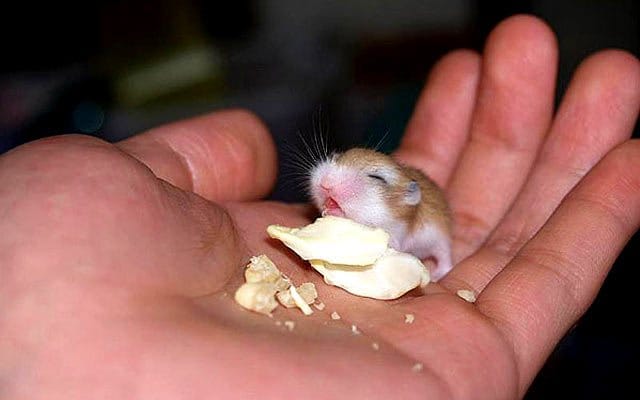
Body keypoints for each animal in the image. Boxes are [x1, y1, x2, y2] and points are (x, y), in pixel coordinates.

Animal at [309, 148, 453, 281]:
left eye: (376, 177)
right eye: (336, 157)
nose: (325, 183)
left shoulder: (395, 239)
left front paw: (332, 211)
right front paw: (325, 210)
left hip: (440, 241)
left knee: (445, 260)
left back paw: (435, 275)